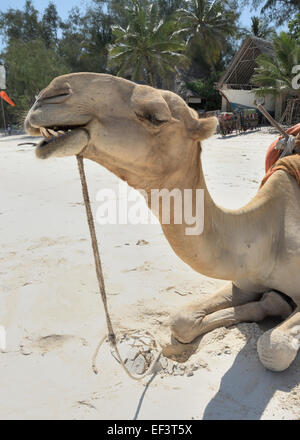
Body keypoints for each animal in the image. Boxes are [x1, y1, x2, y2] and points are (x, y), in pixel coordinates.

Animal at [24, 73, 300, 372]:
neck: (266, 236)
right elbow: (181, 321)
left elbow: (273, 347)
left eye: (155, 116)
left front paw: (278, 304)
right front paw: (273, 302)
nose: (48, 95)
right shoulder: (243, 281)